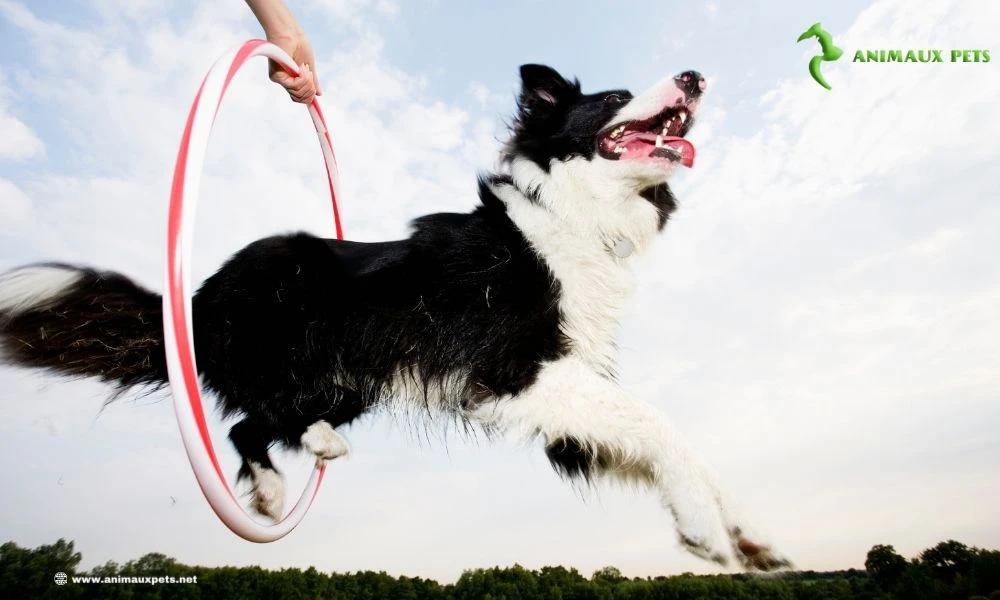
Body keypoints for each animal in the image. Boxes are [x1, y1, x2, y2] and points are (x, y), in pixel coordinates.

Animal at [1, 64, 788, 572]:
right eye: (618, 96)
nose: (694, 77)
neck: (570, 217)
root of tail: (199, 296)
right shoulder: (515, 370)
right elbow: (660, 424)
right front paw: (705, 525)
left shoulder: (565, 406)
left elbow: (652, 441)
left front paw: (740, 533)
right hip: (298, 332)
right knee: (250, 414)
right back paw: (287, 470)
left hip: (351, 382)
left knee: (255, 421)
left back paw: (293, 466)